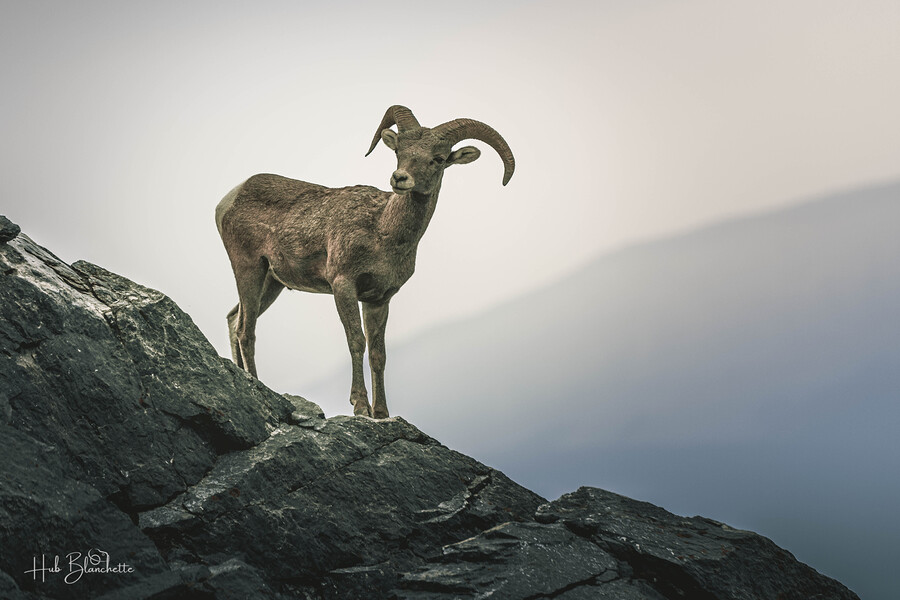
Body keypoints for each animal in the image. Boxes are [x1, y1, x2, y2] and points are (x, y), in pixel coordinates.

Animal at [216, 105, 515, 418]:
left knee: (234, 318)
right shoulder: (343, 285)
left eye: (439, 159)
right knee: (245, 329)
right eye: (399, 151)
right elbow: (356, 341)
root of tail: (228, 200)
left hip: (272, 282)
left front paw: (380, 412)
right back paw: (255, 383)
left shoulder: (379, 299)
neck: (382, 231)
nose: (399, 178)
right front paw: (360, 406)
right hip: (248, 267)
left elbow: (378, 354)